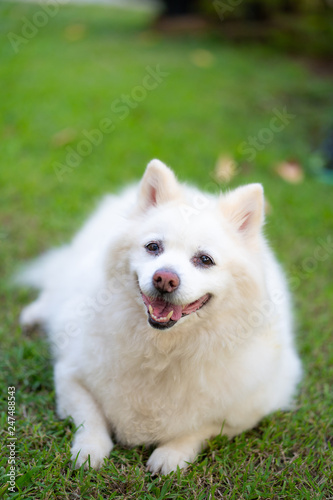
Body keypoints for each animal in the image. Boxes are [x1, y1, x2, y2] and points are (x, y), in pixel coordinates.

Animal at [18, 159, 300, 472]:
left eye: (205, 260)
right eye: (153, 247)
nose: (165, 279)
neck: (164, 349)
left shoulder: (249, 409)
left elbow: (201, 428)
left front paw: (171, 455)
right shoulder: (70, 375)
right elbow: (90, 416)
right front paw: (90, 450)